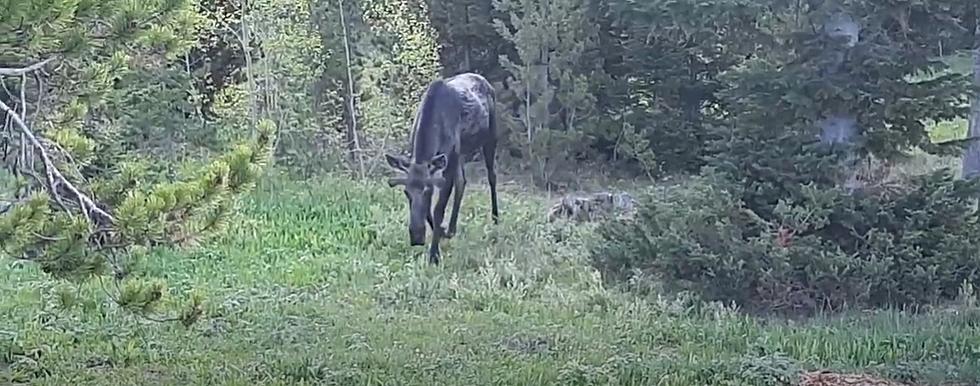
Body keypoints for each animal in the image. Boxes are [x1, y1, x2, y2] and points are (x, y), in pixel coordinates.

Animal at [386, 73, 502, 264]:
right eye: (406, 192)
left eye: (427, 191)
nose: (416, 237)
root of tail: (485, 81)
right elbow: (430, 210)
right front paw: (440, 232)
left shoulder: (449, 161)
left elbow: (438, 208)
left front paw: (434, 254)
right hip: (461, 150)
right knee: (462, 182)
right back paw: (451, 229)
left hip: (490, 136)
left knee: (492, 176)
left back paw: (495, 219)